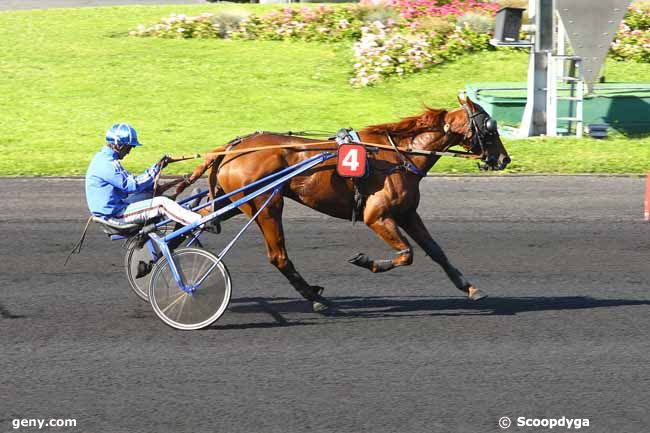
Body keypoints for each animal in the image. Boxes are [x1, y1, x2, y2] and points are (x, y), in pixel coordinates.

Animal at [173, 95, 512, 310]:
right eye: (490, 128)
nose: (504, 159)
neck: (398, 155)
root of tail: (233, 148)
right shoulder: (377, 216)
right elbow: (406, 254)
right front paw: (366, 261)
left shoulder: (407, 213)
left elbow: (436, 251)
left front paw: (470, 288)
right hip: (265, 205)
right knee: (279, 257)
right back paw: (317, 299)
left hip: (234, 202)